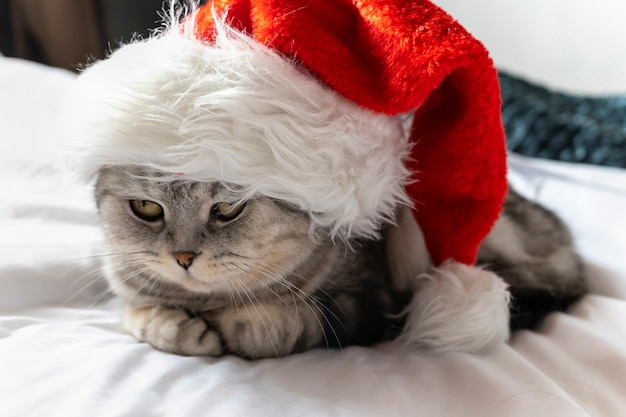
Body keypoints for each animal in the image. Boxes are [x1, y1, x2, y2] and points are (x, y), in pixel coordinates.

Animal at [94, 165, 584, 358]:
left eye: (227, 209)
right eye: (146, 207)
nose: (183, 257)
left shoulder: (365, 302)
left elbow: (281, 325)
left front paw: (232, 326)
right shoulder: (124, 286)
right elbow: (139, 316)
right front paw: (179, 327)